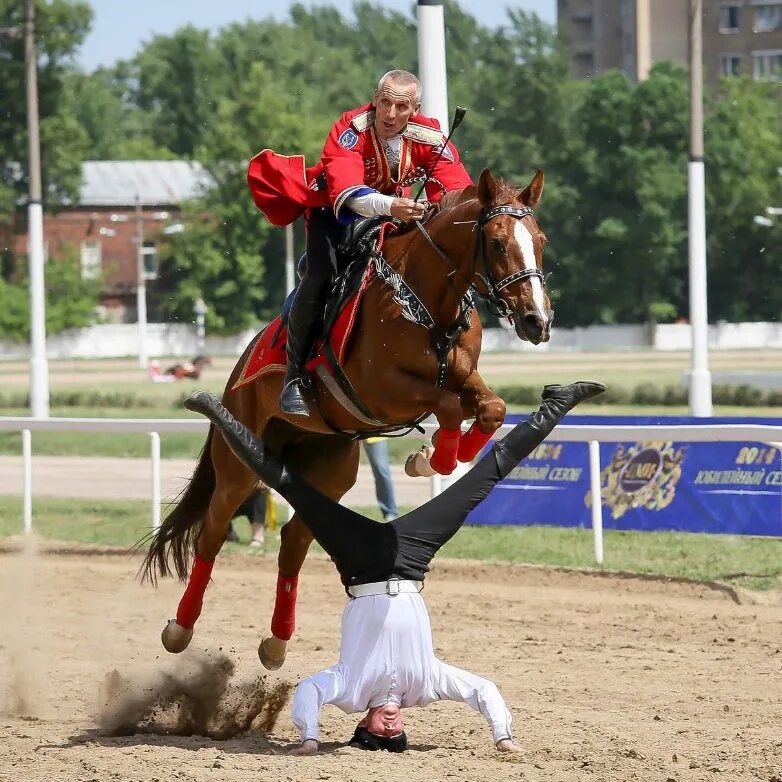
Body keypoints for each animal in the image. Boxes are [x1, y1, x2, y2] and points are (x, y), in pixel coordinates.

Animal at [144, 168, 556, 672]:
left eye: (540, 239)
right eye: (496, 242)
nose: (537, 320)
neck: (424, 303)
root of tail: (239, 368)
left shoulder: (462, 376)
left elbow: (490, 409)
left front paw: (436, 457)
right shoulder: (382, 392)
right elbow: (447, 406)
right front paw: (431, 457)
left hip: (330, 466)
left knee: (295, 540)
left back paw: (276, 643)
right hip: (238, 464)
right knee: (214, 531)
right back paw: (179, 629)